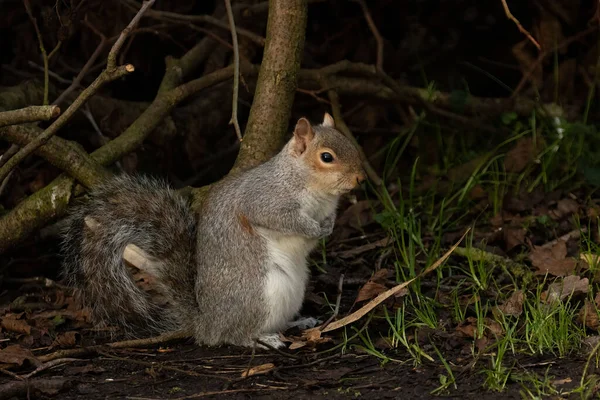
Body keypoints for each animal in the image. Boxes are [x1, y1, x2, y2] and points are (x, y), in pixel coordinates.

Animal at [63, 114, 368, 348]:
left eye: (350, 143)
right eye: (326, 157)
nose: (360, 178)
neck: (314, 188)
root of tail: (207, 323)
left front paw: (328, 226)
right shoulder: (265, 199)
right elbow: (282, 219)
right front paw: (313, 227)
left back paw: (298, 321)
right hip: (260, 292)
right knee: (233, 335)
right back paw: (261, 339)